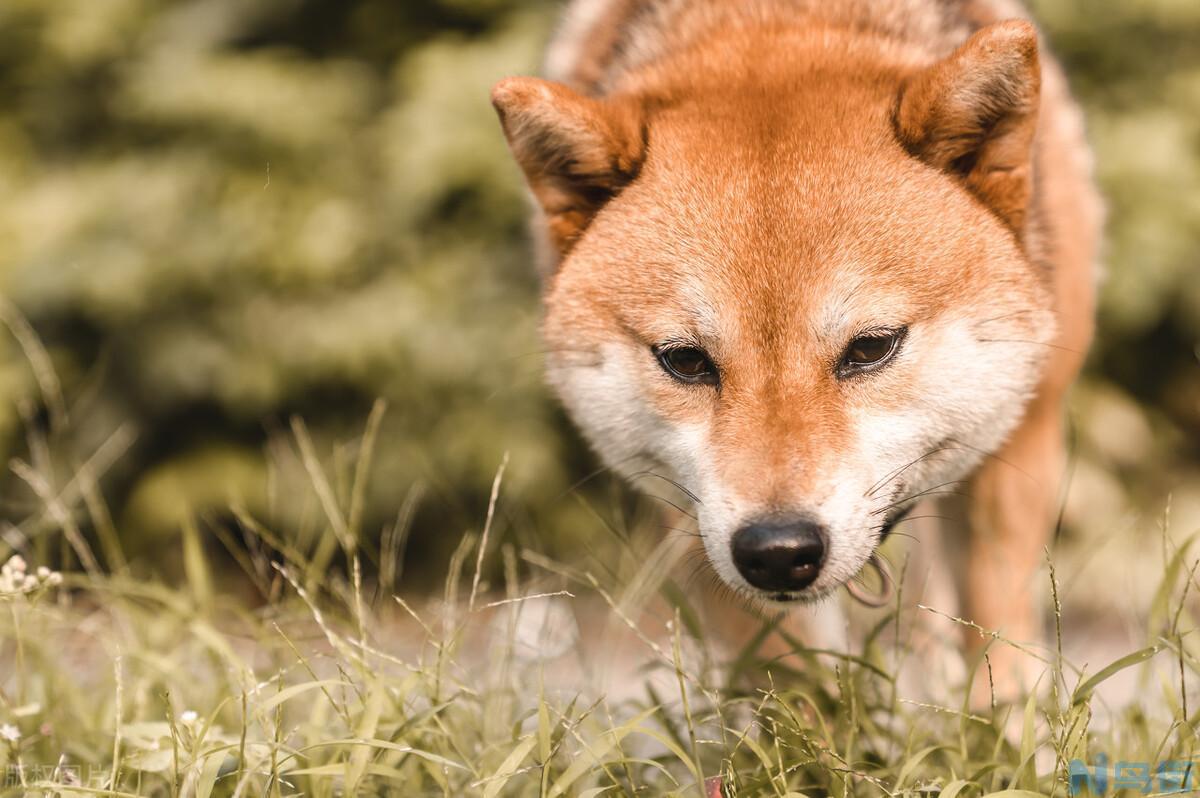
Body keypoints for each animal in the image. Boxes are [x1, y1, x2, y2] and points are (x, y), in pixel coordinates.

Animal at [487, 0, 1099, 691]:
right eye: (685, 360)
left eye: (871, 348)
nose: (778, 551)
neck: (772, 23)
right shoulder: (692, 514)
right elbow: (797, 687)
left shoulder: (1017, 447)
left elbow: (999, 654)